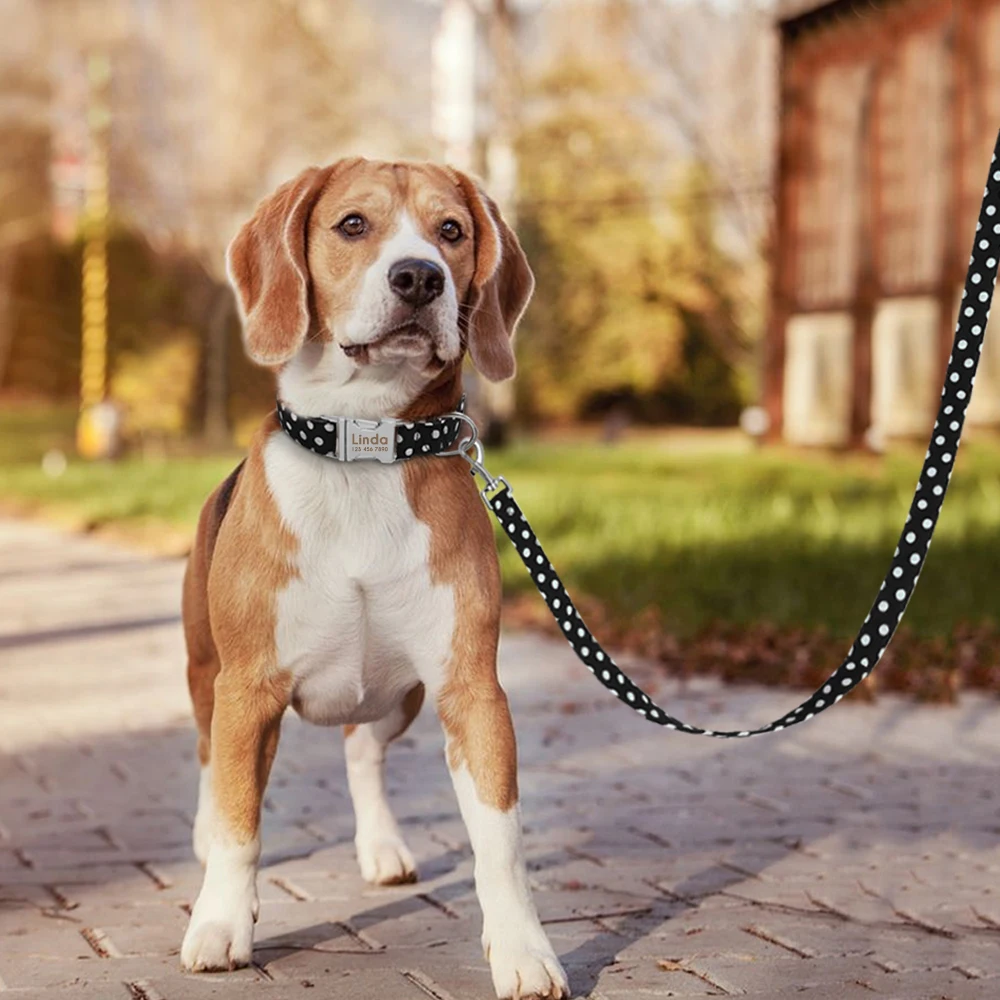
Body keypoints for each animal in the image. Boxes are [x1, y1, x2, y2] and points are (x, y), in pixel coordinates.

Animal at [180, 160, 572, 996]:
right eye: (353, 225)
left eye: (451, 230)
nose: (419, 276)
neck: (367, 442)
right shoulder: (248, 689)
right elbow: (239, 825)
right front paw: (221, 924)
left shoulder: (471, 692)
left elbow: (501, 843)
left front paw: (523, 950)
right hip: (207, 674)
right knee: (208, 759)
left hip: (403, 696)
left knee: (363, 751)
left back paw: (382, 848)